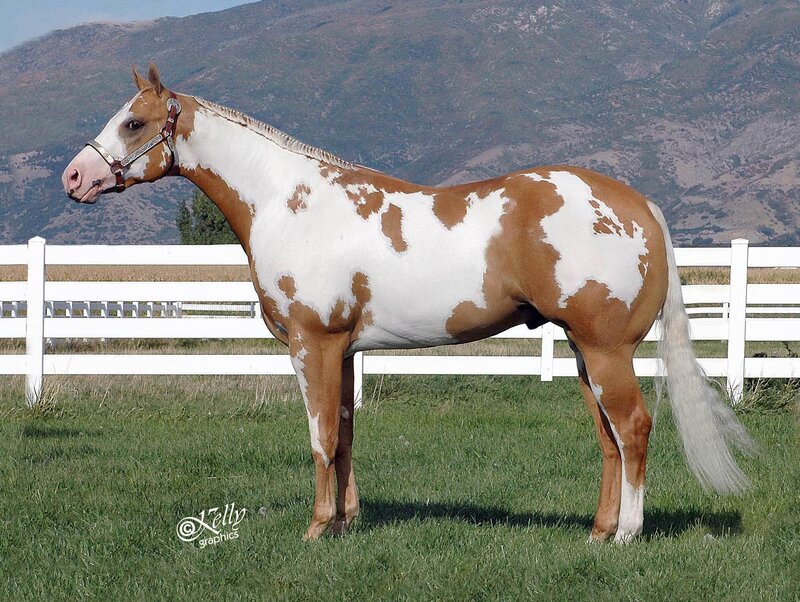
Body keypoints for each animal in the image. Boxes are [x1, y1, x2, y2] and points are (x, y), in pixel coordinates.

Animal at [62, 64, 753, 543]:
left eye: (133, 122)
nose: (74, 178)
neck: (292, 204)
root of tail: (639, 204)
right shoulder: (342, 351)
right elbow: (343, 432)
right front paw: (346, 523)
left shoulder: (313, 344)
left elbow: (318, 436)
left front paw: (316, 528)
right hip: (586, 353)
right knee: (609, 439)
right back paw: (599, 532)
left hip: (607, 349)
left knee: (633, 429)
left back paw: (628, 535)